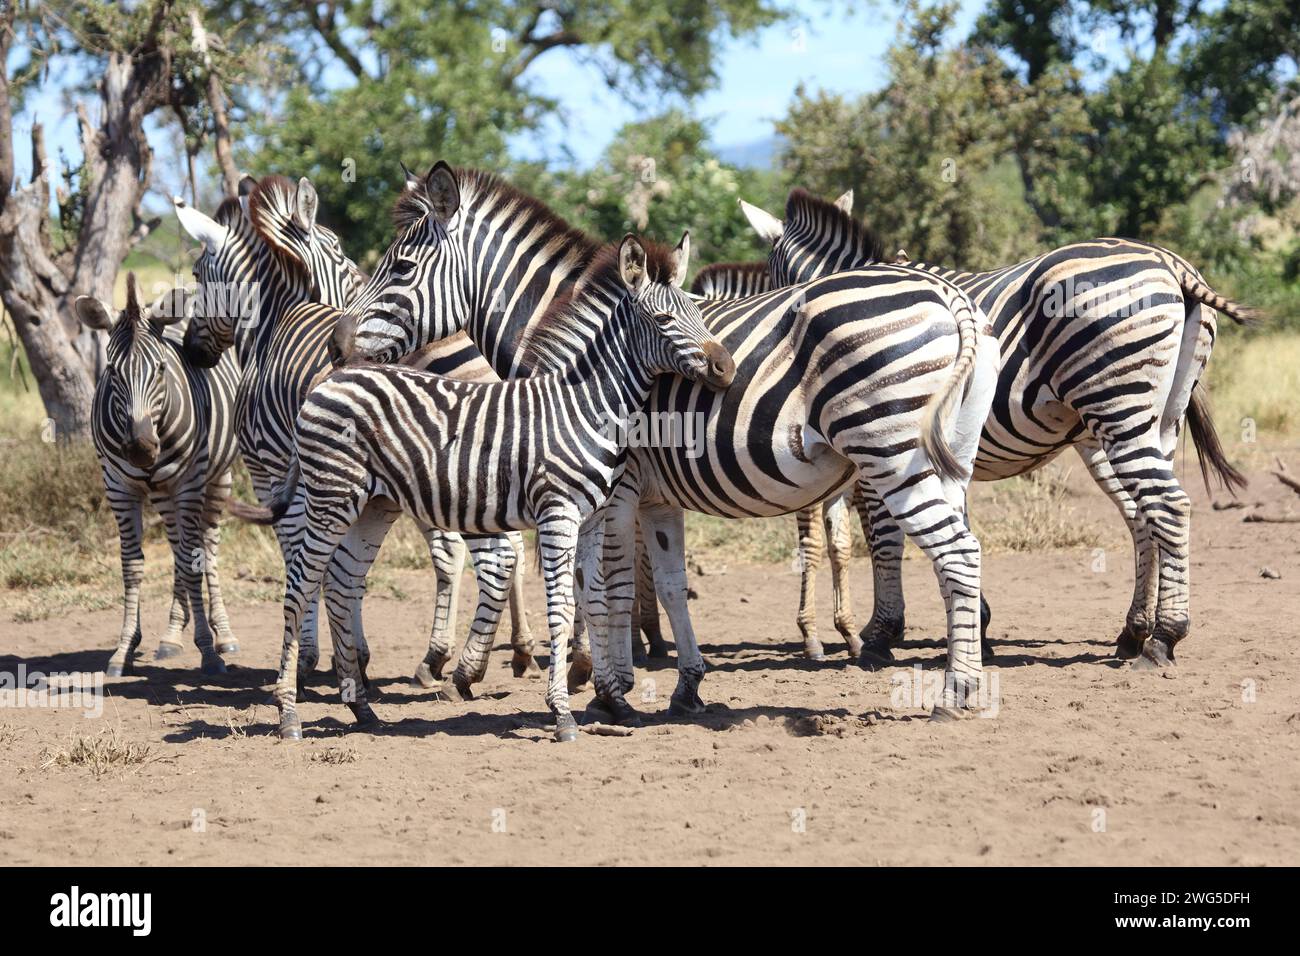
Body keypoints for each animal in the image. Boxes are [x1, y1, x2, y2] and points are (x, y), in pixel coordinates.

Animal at [74, 274, 240, 677]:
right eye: (111, 370)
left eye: (161, 369)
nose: (140, 449)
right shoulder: (118, 487)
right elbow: (132, 567)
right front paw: (123, 649)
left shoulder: (191, 483)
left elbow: (194, 561)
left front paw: (208, 652)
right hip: (164, 492)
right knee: (178, 544)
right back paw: (172, 634)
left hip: (217, 479)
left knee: (207, 546)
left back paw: (223, 634)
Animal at [173, 179, 537, 693]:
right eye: (342, 251)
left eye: (198, 274)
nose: (192, 351)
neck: (274, 324)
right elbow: (344, 567)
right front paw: (351, 656)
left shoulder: (271, 471)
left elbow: (301, 558)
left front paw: (309, 658)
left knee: (484, 554)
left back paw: (461, 665)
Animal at [243, 234, 735, 741]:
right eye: (664, 320)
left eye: (698, 313)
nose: (726, 366)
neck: (584, 403)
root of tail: (327, 382)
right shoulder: (557, 513)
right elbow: (560, 607)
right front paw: (562, 714)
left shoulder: (593, 516)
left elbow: (593, 599)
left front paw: (613, 701)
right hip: (331, 497)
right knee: (300, 586)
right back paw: (289, 714)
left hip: (373, 504)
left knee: (342, 582)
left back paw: (361, 708)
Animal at [334, 167, 1000, 722]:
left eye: (399, 267)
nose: (339, 341)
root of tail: (949, 295)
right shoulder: (653, 496)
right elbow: (669, 583)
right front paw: (682, 684)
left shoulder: (613, 488)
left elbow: (601, 582)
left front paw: (603, 684)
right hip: (948, 458)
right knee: (960, 555)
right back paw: (964, 668)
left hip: (890, 450)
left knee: (955, 553)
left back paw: (953, 693)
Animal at [737, 187, 1255, 669]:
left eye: (778, 291)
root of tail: (1170, 263)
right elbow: (952, 524)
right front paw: (975, 627)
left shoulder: (881, 448)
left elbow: (885, 537)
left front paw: (883, 633)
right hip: (1153, 421)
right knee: (1145, 513)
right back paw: (1134, 632)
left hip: (1118, 407)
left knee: (1168, 506)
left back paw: (1164, 636)